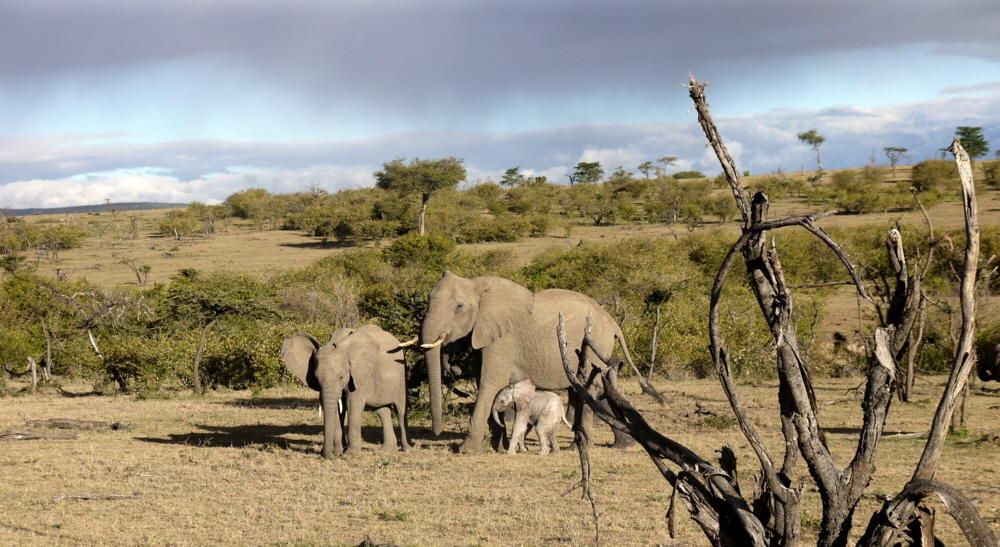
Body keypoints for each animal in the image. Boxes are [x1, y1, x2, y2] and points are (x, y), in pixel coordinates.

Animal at [282, 326, 410, 458]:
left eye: (341, 377)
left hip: (401, 372)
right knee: (382, 410)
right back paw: (387, 450)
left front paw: (350, 454)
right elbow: (337, 408)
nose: (324, 454)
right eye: (316, 379)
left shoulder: (359, 373)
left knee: (400, 410)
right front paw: (338, 452)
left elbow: (351, 403)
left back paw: (406, 449)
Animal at [418, 272, 636, 456]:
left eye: (459, 307)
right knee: (595, 389)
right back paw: (624, 445)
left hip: (594, 343)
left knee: (589, 389)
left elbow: (490, 384)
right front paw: (498, 447)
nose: (435, 434)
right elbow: (488, 384)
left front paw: (468, 451)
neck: (476, 285)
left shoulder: (503, 338)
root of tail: (613, 323)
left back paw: (579, 447)